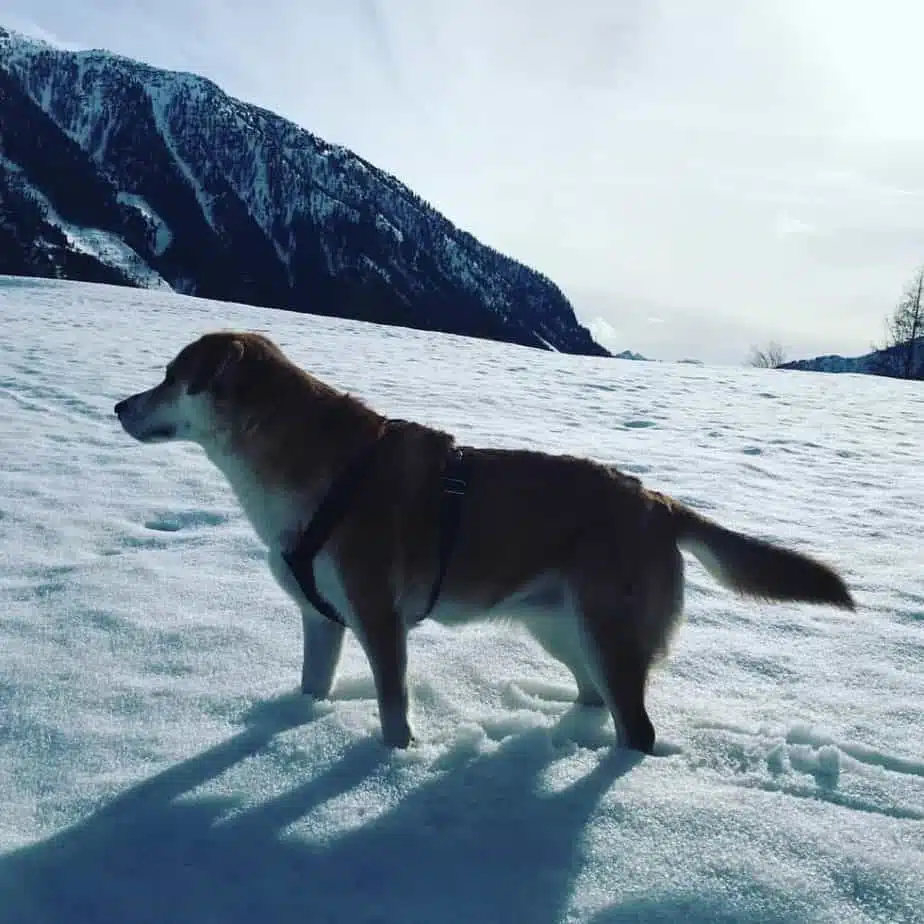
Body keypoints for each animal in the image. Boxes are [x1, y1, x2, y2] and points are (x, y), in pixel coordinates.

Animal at [114, 330, 855, 754]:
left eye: (172, 377)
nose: (118, 406)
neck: (310, 467)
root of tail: (657, 502)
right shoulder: (321, 620)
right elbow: (310, 689)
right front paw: (289, 730)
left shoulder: (379, 620)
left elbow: (393, 710)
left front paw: (393, 763)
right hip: (560, 629)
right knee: (596, 700)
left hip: (607, 634)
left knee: (637, 728)